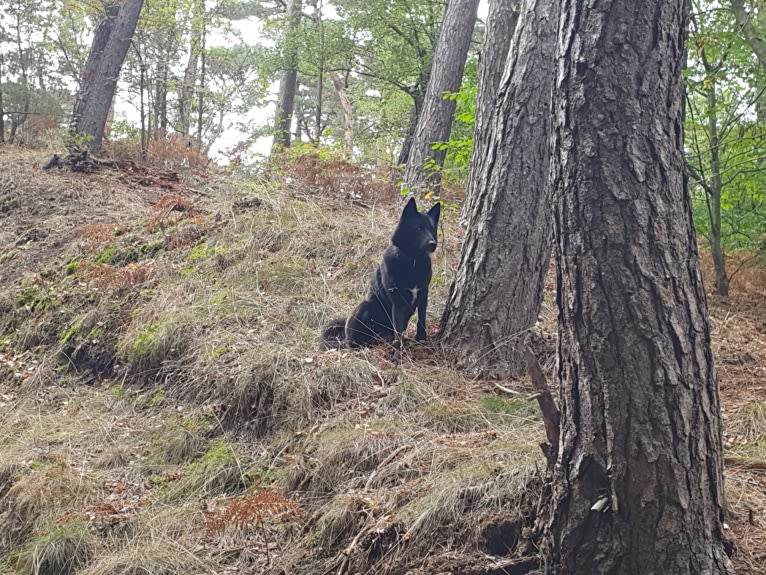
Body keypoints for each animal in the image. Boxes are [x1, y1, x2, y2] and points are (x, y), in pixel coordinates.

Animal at [322, 198, 440, 352]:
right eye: (418, 228)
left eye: (432, 229)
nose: (433, 244)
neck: (412, 260)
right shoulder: (398, 302)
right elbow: (398, 329)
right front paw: (398, 352)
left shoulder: (423, 294)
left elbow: (422, 319)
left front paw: (421, 340)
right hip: (364, 306)